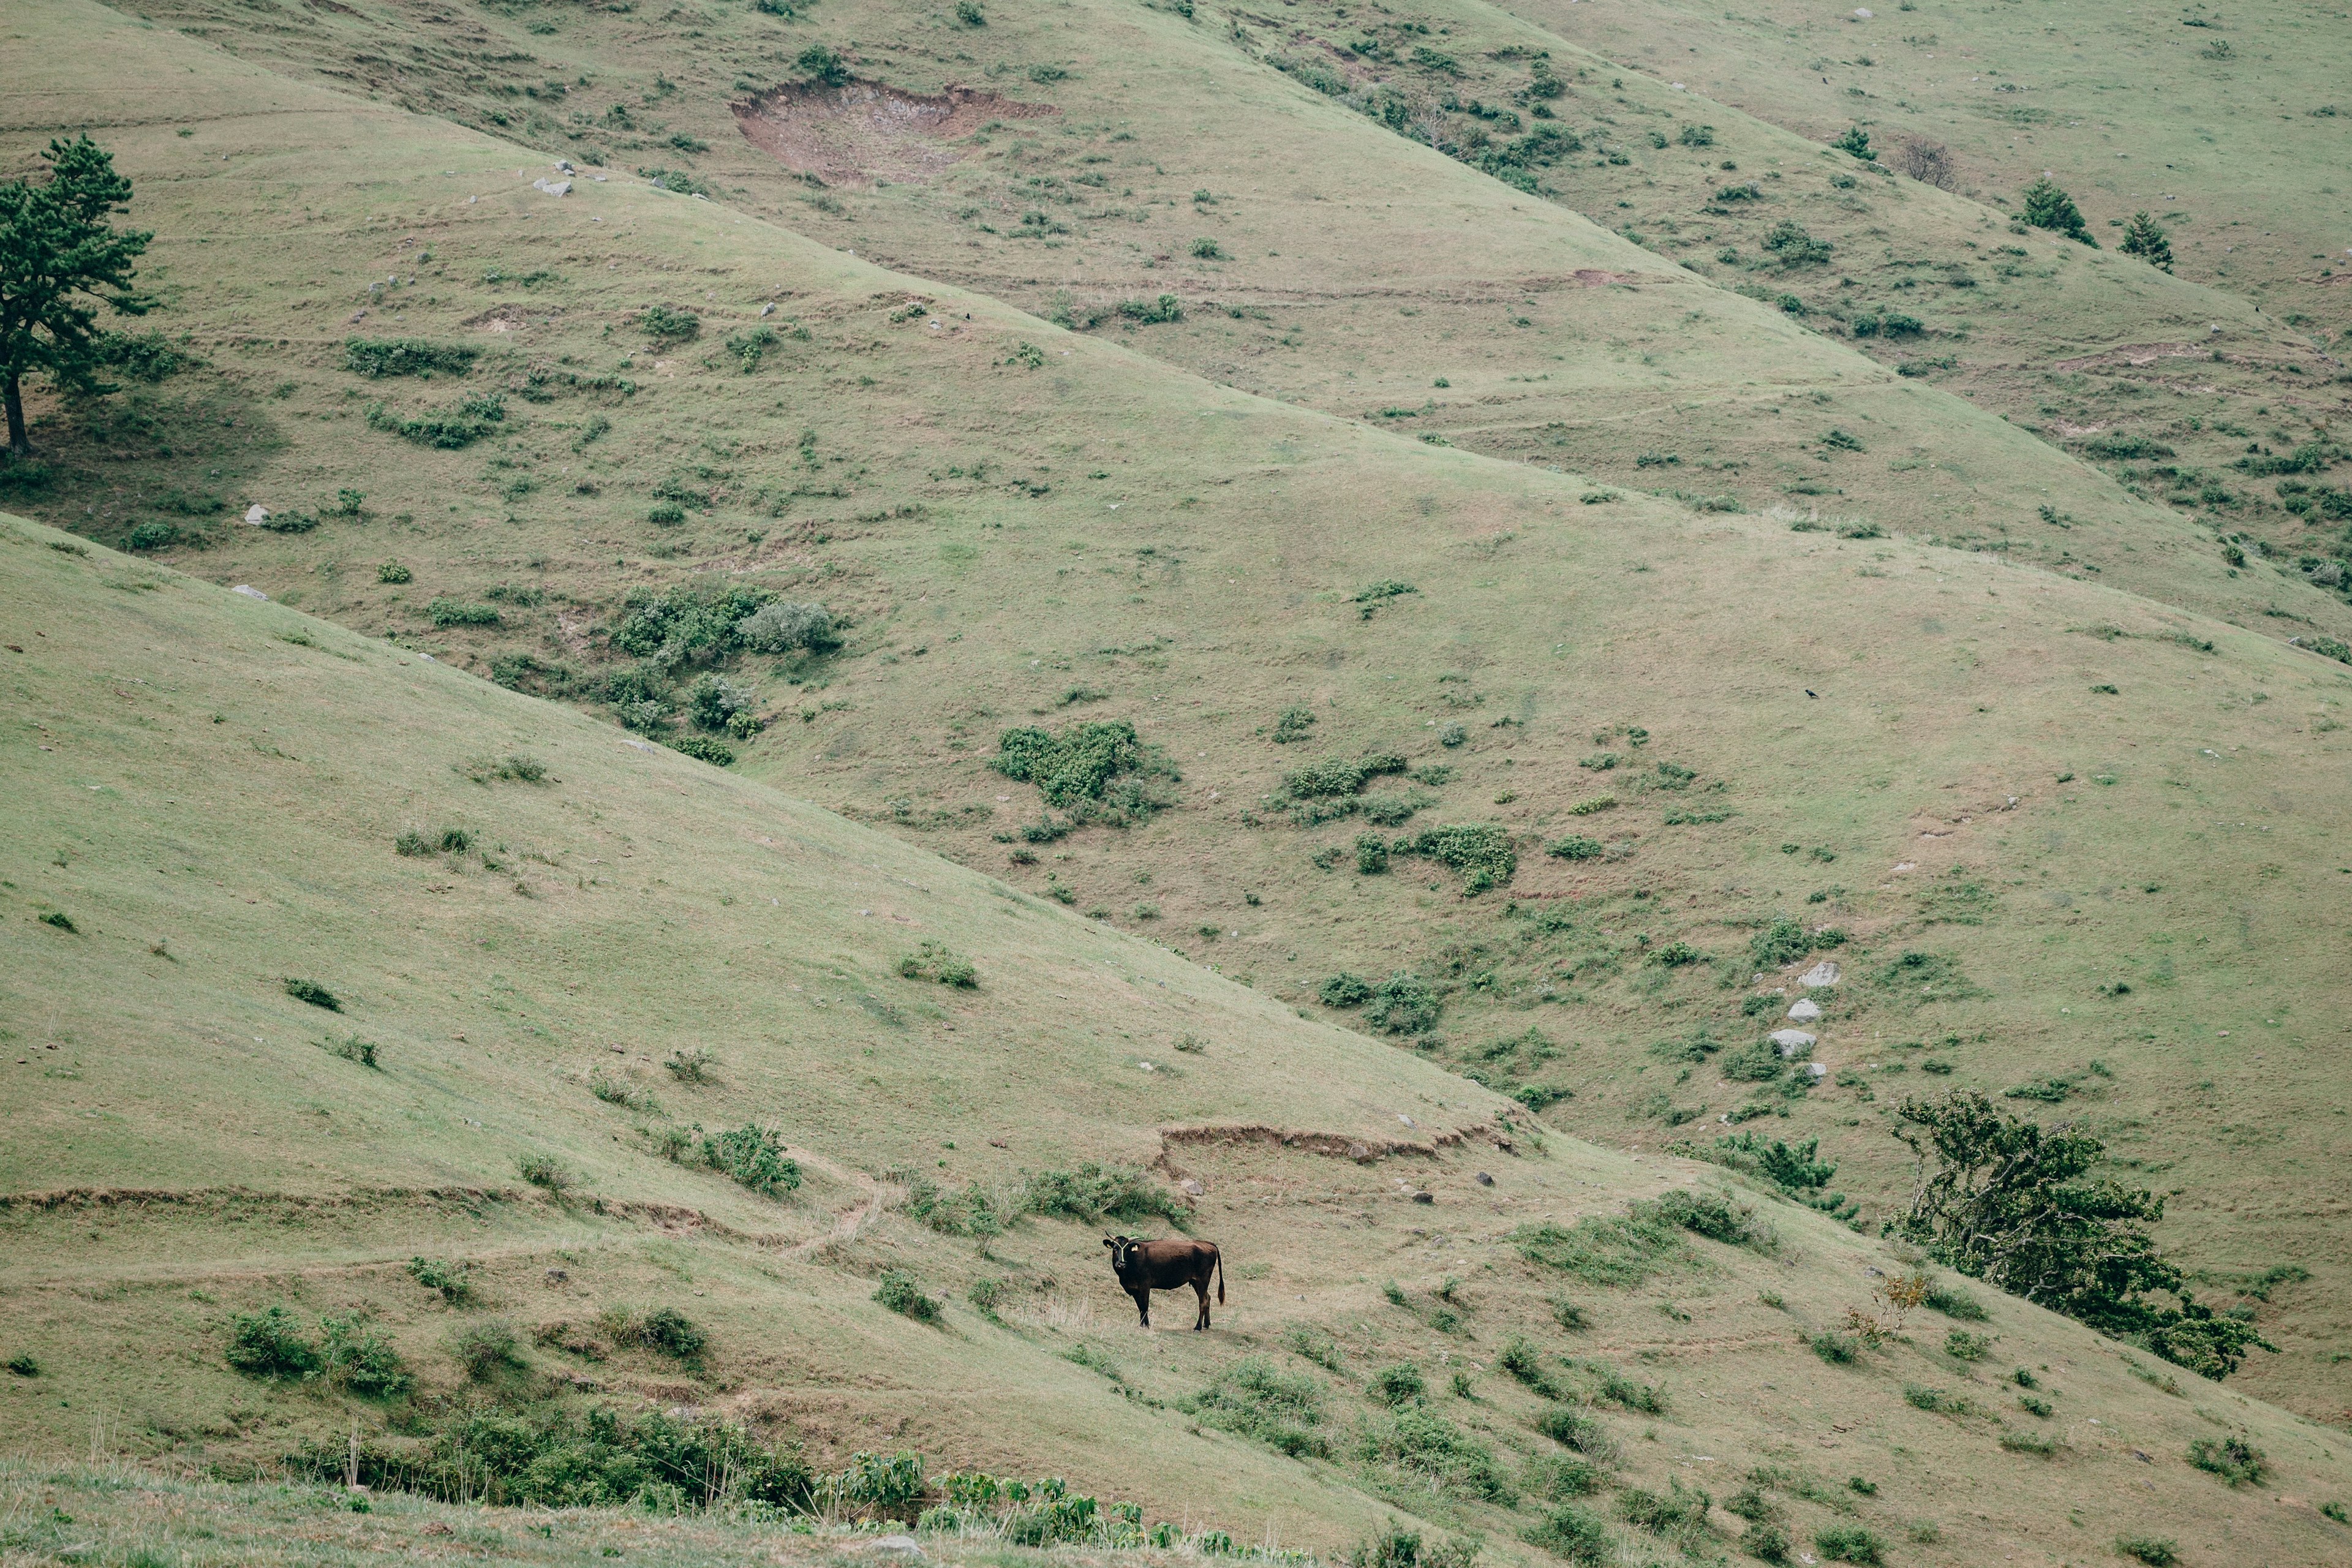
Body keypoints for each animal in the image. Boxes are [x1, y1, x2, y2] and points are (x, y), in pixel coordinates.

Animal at [1101, 1232, 1223, 1335]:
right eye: (1115, 1249)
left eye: (1127, 1250)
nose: (1121, 1264)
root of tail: (1207, 1243)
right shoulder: (1135, 1289)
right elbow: (1140, 1307)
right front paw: (1142, 1324)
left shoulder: (1145, 1285)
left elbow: (1145, 1306)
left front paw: (1146, 1325)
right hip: (1196, 1282)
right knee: (1208, 1298)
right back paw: (1206, 1324)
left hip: (1202, 1280)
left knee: (1203, 1302)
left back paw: (1198, 1327)